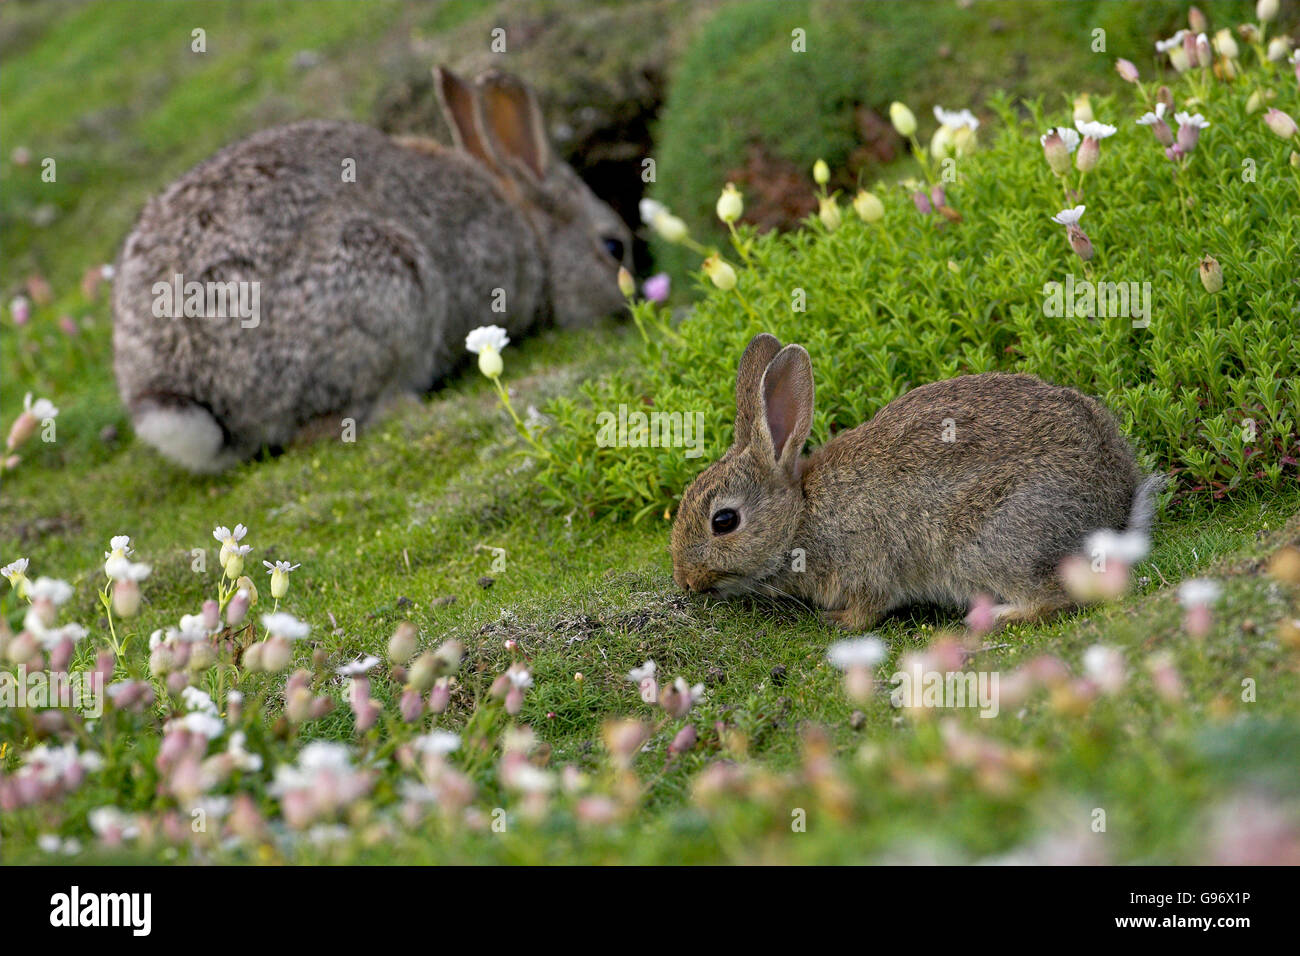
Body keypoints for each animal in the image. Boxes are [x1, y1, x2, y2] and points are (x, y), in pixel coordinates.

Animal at [670, 333, 1164, 630]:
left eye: (724, 521)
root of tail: (1116, 514)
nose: (686, 582)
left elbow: (868, 611)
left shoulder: (865, 564)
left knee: (1055, 599)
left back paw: (994, 616)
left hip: (996, 544)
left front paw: (836, 621)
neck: (801, 516)